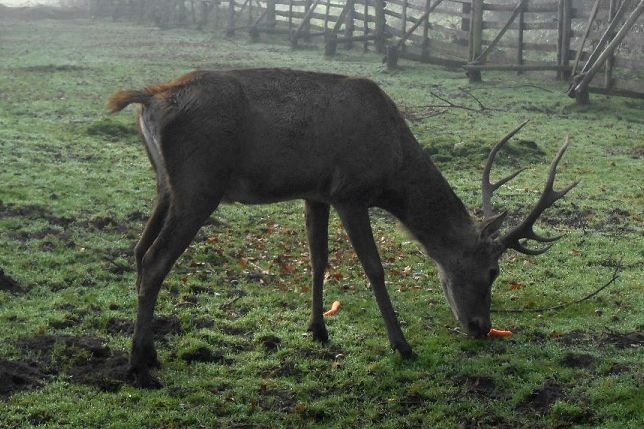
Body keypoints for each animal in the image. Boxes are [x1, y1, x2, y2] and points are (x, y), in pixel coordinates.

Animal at [107, 67, 580, 388]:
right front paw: (401, 345)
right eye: (492, 271)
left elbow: (318, 259)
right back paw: (138, 365)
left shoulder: (316, 193)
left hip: (166, 186)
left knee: (138, 252)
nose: (481, 327)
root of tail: (149, 100)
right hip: (198, 186)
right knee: (155, 260)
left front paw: (317, 330)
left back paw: (149, 351)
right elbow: (374, 268)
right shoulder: (351, 191)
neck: (393, 167)